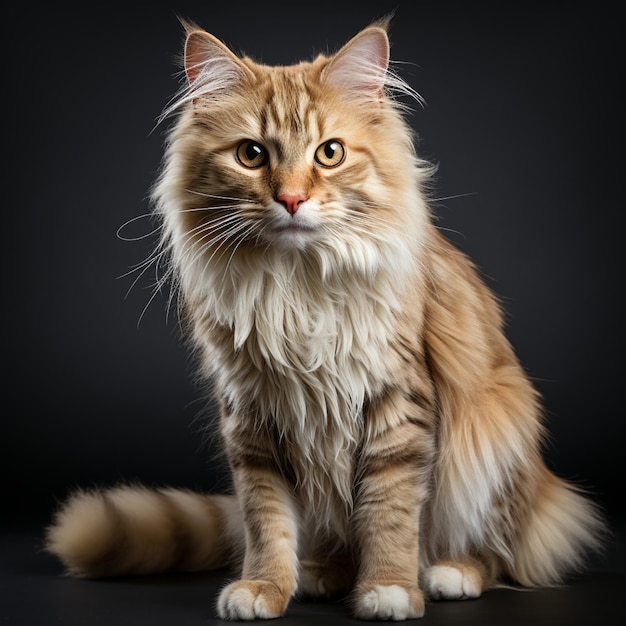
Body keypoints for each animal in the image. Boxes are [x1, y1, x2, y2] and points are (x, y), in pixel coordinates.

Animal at [46, 17, 604, 616]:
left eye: (330, 153)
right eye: (251, 155)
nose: (291, 199)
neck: (297, 287)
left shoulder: (396, 405)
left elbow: (389, 511)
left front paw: (389, 588)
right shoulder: (253, 417)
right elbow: (266, 519)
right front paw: (264, 587)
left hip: (498, 430)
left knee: (502, 551)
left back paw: (451, 573)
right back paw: (322, 571)